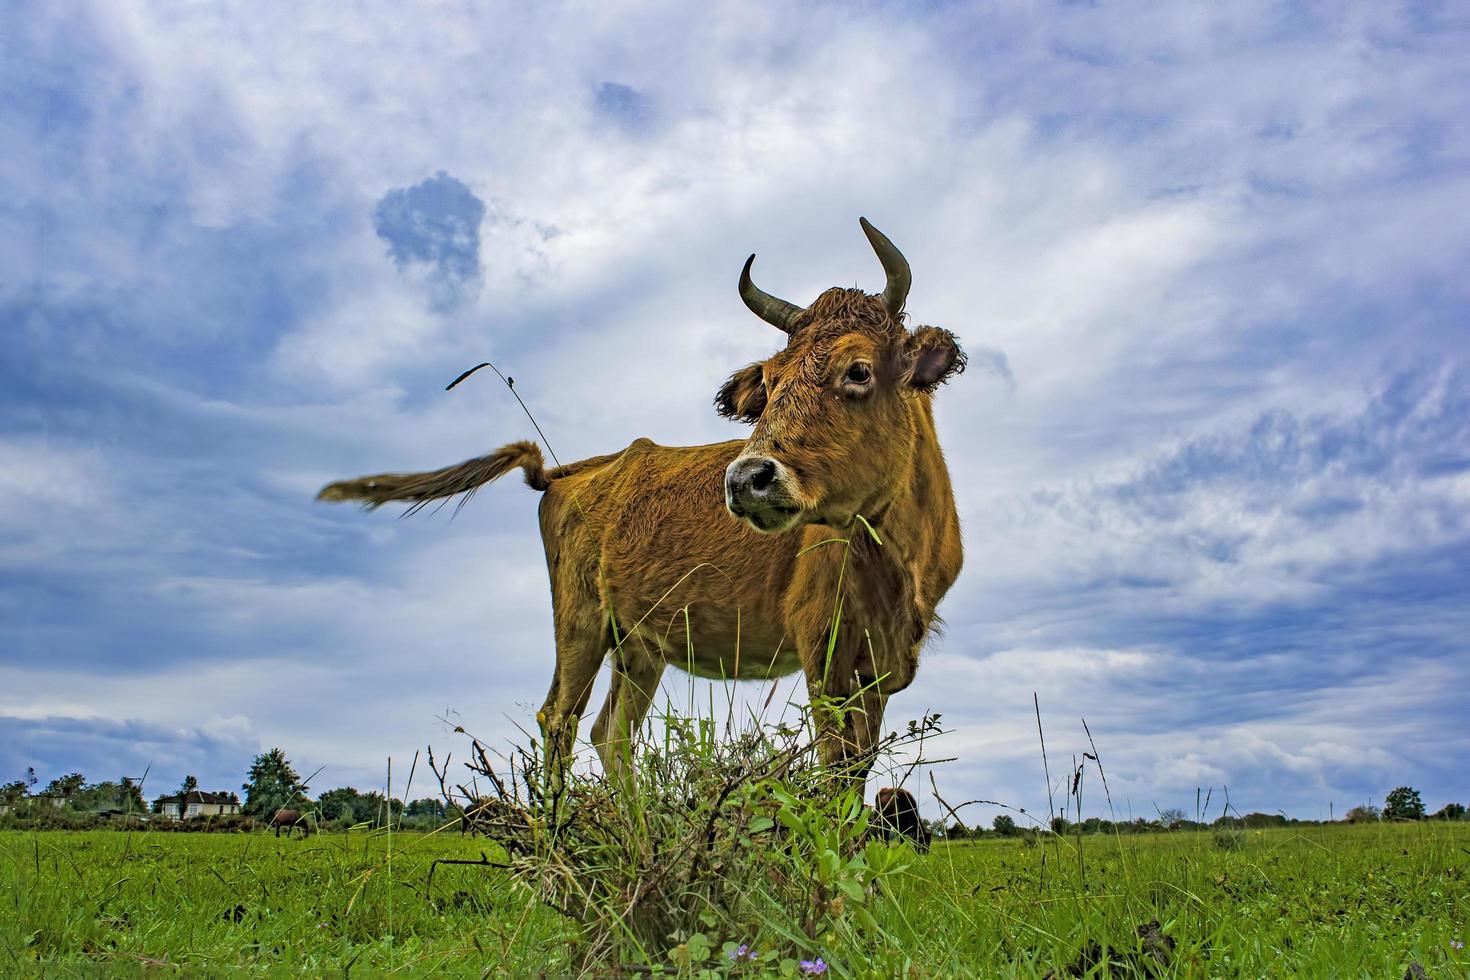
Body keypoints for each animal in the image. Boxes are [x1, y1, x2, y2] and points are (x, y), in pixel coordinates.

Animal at [320, 220, 964, 781]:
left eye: (858, 370)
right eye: (770, 381)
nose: (746, 478)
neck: (897, 561)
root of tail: (568, 473)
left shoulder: (878, 672)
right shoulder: (822, 655)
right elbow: (835, 771)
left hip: (638, 647)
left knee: (610, 732)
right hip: (580, 624)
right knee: (560, 719)